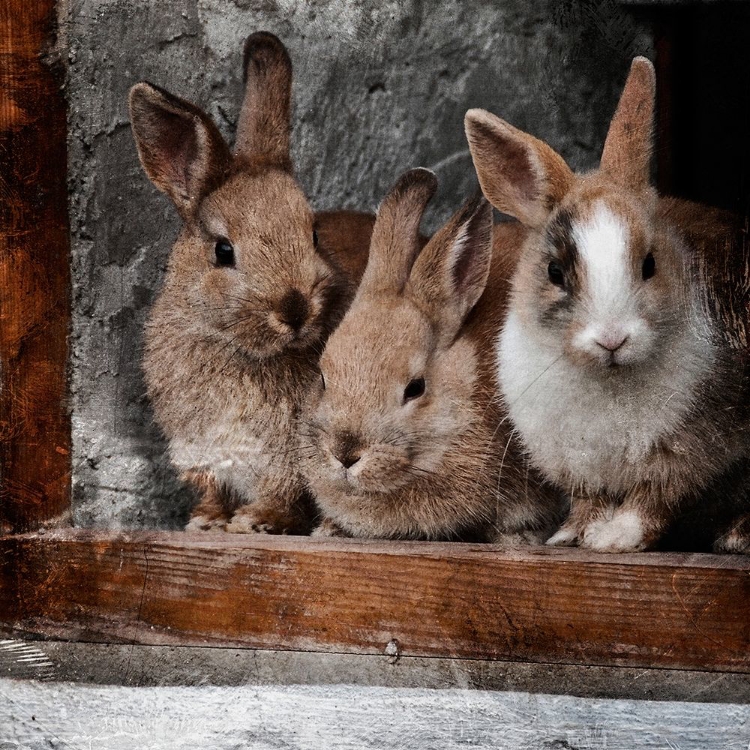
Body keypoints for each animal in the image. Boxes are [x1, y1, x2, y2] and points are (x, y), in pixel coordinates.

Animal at [132, 30, 376, 536]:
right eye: (224, 251)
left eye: (313, 234)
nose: (295, 309)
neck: (238, 348)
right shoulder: (206, 451)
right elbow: (215, 488)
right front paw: (207, 521)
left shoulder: (289, 455)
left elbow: (284, 491)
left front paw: (258, 521)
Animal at [468, 57, 748, 552]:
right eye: (554, 272)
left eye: (650, 264)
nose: (612, 339)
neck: (606, 380)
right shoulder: (581, 470)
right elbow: (590, 501)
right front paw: (569, 537)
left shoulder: (686, 454)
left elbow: (652, 501)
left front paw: (614, 539)